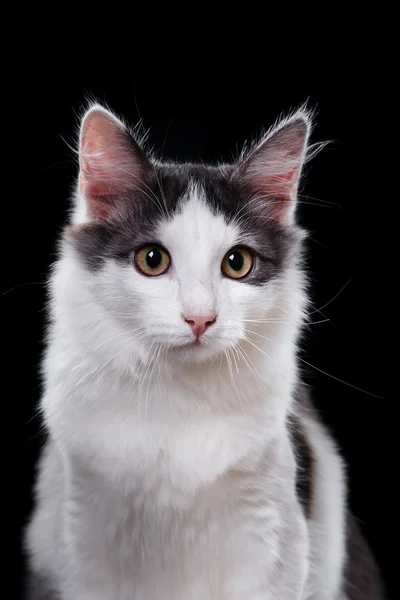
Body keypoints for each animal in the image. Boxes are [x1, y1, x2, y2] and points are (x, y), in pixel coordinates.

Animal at [24, 105, 384, 596]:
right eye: (152, 260)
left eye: (238, 263)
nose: (200, 319)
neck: (179, 401)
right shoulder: (85, 536)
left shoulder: (273, 537)